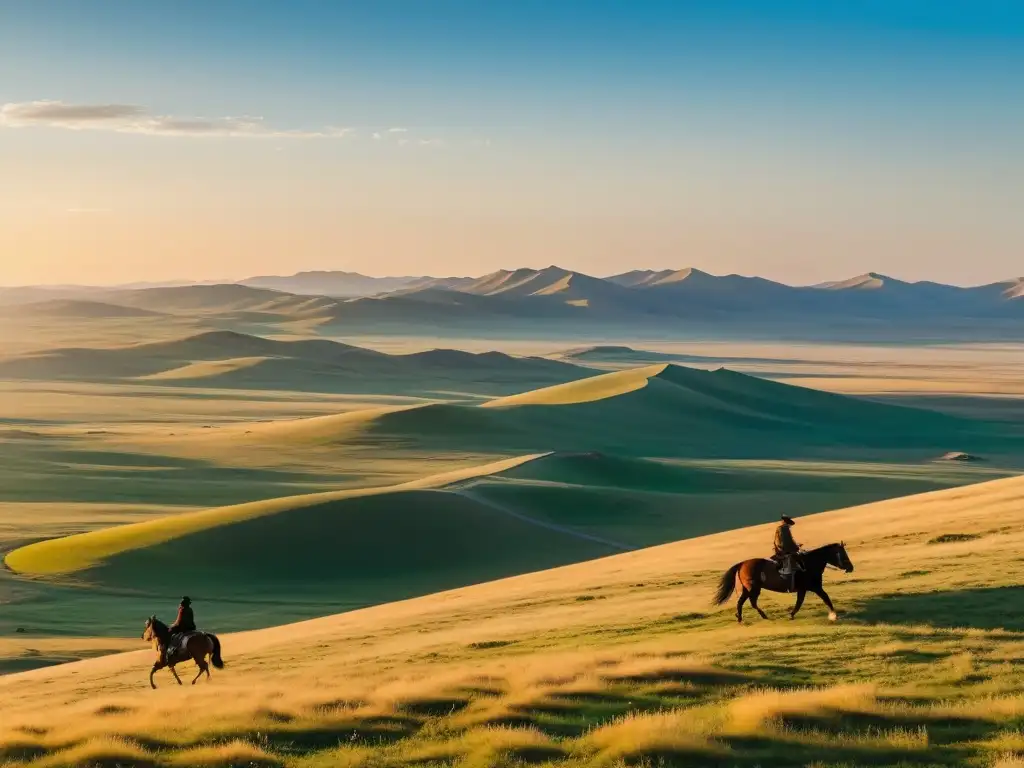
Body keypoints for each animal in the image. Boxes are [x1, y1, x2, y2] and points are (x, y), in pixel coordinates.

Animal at [708, 544, 851, 622]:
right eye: (843, 554)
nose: (851, 567)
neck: (810, 563)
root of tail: (742, 564)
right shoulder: (814, 588)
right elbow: (826, 599)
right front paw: (833, 615)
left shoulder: (804, 589)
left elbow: (800, 603)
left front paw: (791, 615)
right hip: (753, 589)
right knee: (751, 602)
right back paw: (761, 616)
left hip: (747, 589)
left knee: (742, 602)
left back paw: (741, 618)